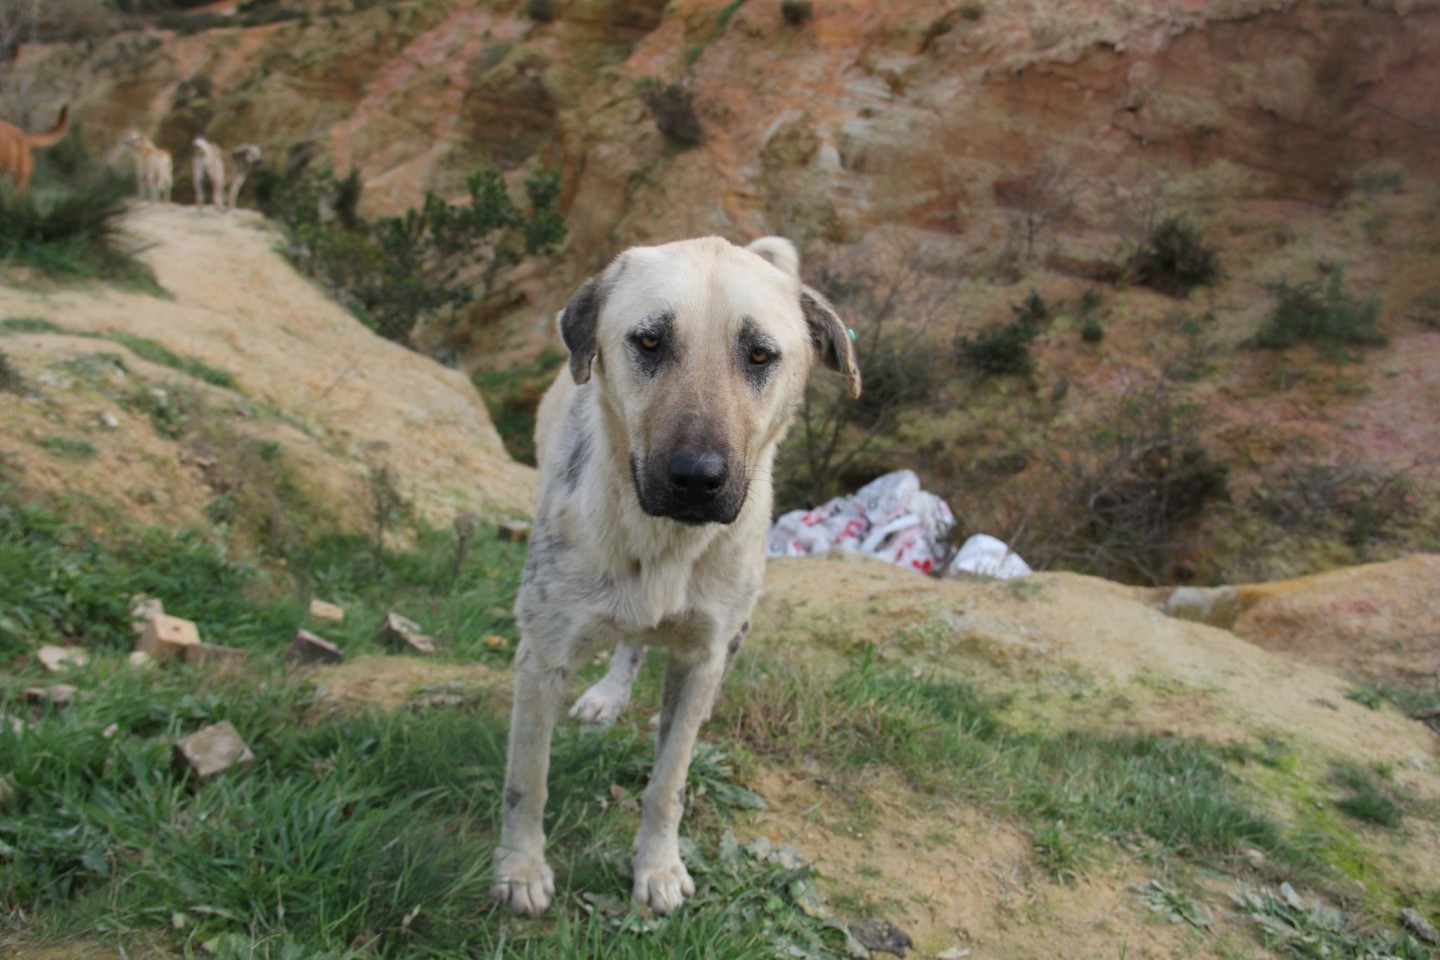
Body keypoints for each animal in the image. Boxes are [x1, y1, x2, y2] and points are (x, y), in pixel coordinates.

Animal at [489, 233, 858, 915]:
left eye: (761, 353)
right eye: (650, 341)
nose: (696, 478)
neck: (669, 545)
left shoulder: (702, 652)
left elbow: (669, 782)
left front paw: (657, 867)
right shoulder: (541, 657)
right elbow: (527, 778)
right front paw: (520, 868)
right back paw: (609, 694)